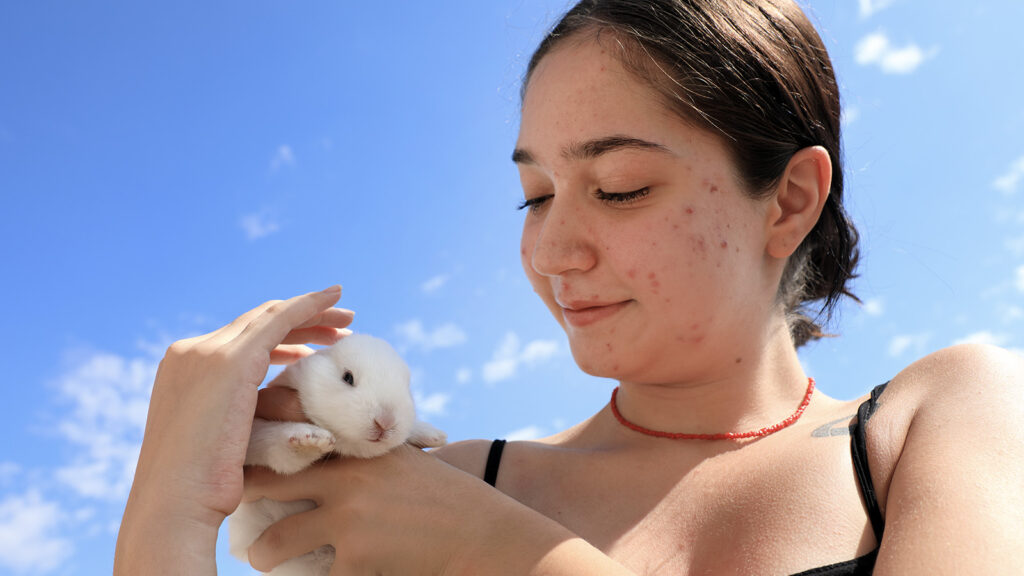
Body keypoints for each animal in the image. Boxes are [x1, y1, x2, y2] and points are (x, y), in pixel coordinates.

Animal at [232, 332, 448, 573]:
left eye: (406, 387)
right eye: (347, 377)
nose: (385, 422)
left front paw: (434, 435)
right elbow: (274, 442)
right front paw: (312, 439)